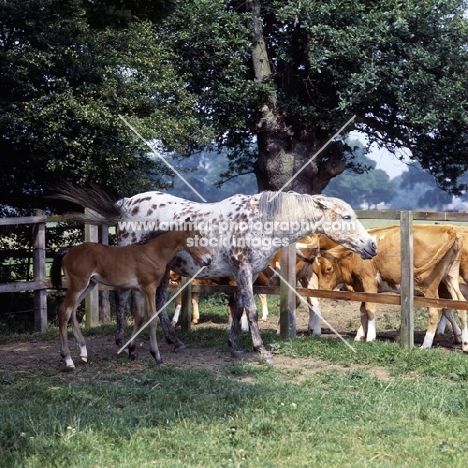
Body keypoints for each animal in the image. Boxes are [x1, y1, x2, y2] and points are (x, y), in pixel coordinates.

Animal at [50, 229, 211, 368]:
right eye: (195, 240)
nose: (208, 260)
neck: (152, 253)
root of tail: (68, 251)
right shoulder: (150, 288)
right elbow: (152, 318)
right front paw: (157, 357)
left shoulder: (139, 291)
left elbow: (139, 317)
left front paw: (132, 351)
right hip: (78, 285)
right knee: (64, 311)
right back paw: (68, 359)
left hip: (89, 285)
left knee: (72, 310)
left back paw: (83, 351)